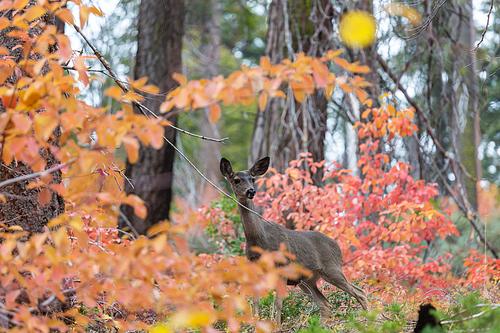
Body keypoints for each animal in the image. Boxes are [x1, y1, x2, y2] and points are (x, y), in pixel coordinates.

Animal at [221, 156, 370, 324]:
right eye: (236, 180)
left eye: (253, 179)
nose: (251, 191)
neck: (259, 238)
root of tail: (337, 246)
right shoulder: (257, 268)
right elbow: (256, 300)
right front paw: (255, 325)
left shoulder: (283, 267)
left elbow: (278, 303)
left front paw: (277, 326)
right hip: (307, 280)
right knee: (326, 304)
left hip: (332, 269)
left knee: (360, 293)